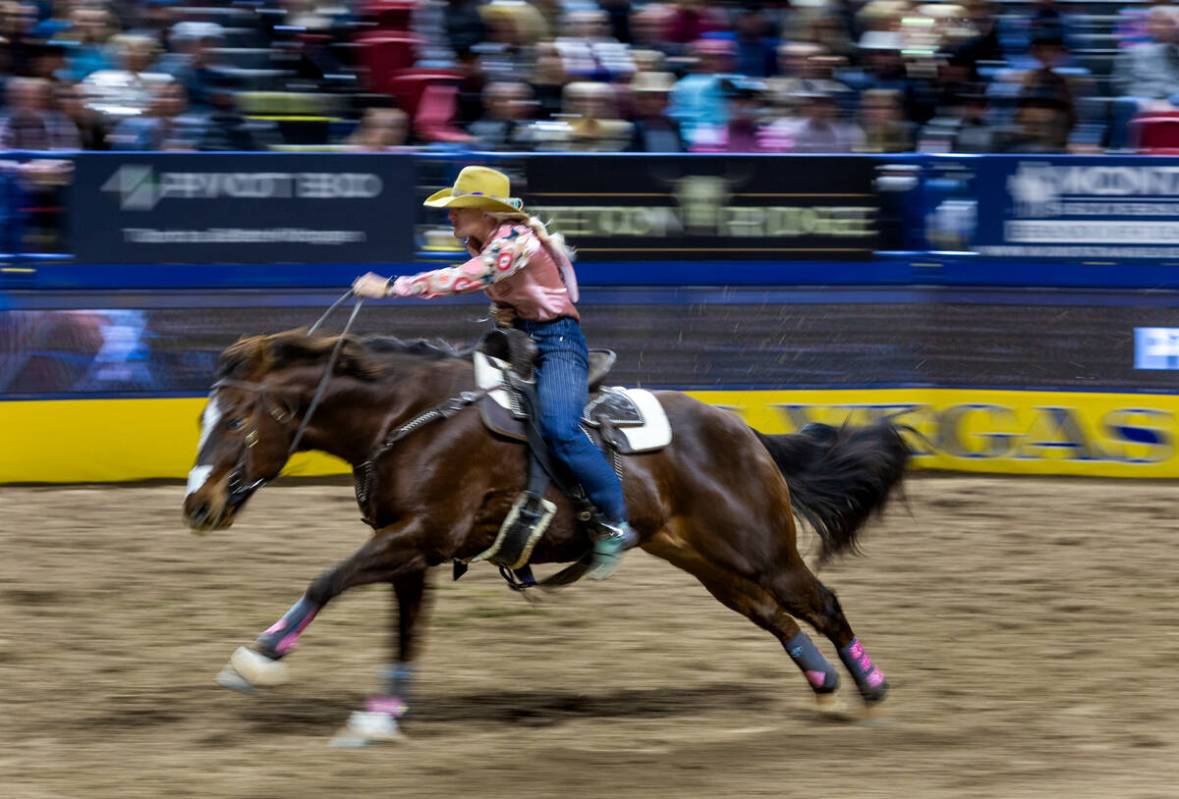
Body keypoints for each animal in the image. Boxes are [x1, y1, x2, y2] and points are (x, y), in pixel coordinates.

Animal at [179, 327, 905, 749]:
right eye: (202, 416)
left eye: (237, 418)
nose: (197, 503)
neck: (408, 415)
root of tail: (744, 432)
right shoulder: (410, 549)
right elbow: (405, 632)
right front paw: (381, 713)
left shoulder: (419, 534)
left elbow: (326, 578)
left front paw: (258, 658)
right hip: (708, 562)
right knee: (777, 616)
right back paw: (824, 686)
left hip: (760, 548)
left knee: (821, 603)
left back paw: (872, 694)